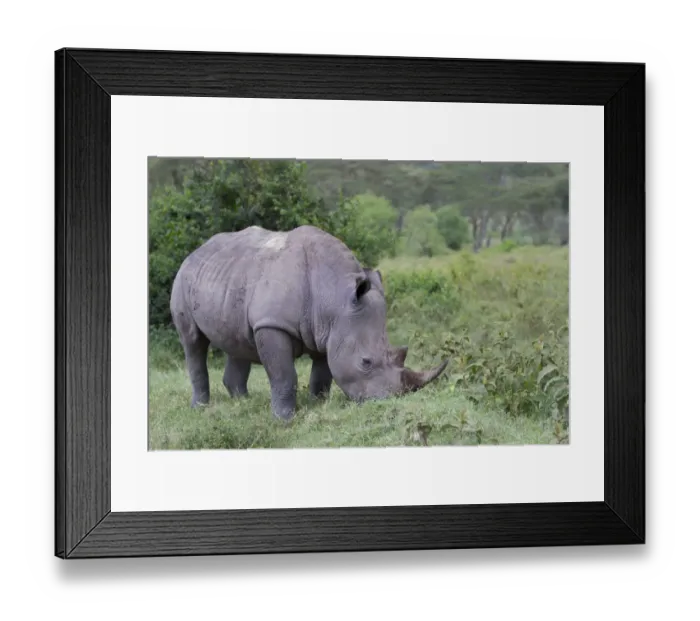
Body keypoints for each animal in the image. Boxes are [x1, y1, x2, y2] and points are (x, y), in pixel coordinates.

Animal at [169, 224, 449, 421]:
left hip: (229, 277)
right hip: (183, 278)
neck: (334, 296)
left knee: (237, 342)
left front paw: (319, 406)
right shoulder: (272, 324)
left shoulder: (328, 333)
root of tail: (196, 252)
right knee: (193, 342)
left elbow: (322, 377)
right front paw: (283, 420)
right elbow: (284, 376)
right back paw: (201, 408)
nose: (388, 400)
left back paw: (244, 404)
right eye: (366, 362)